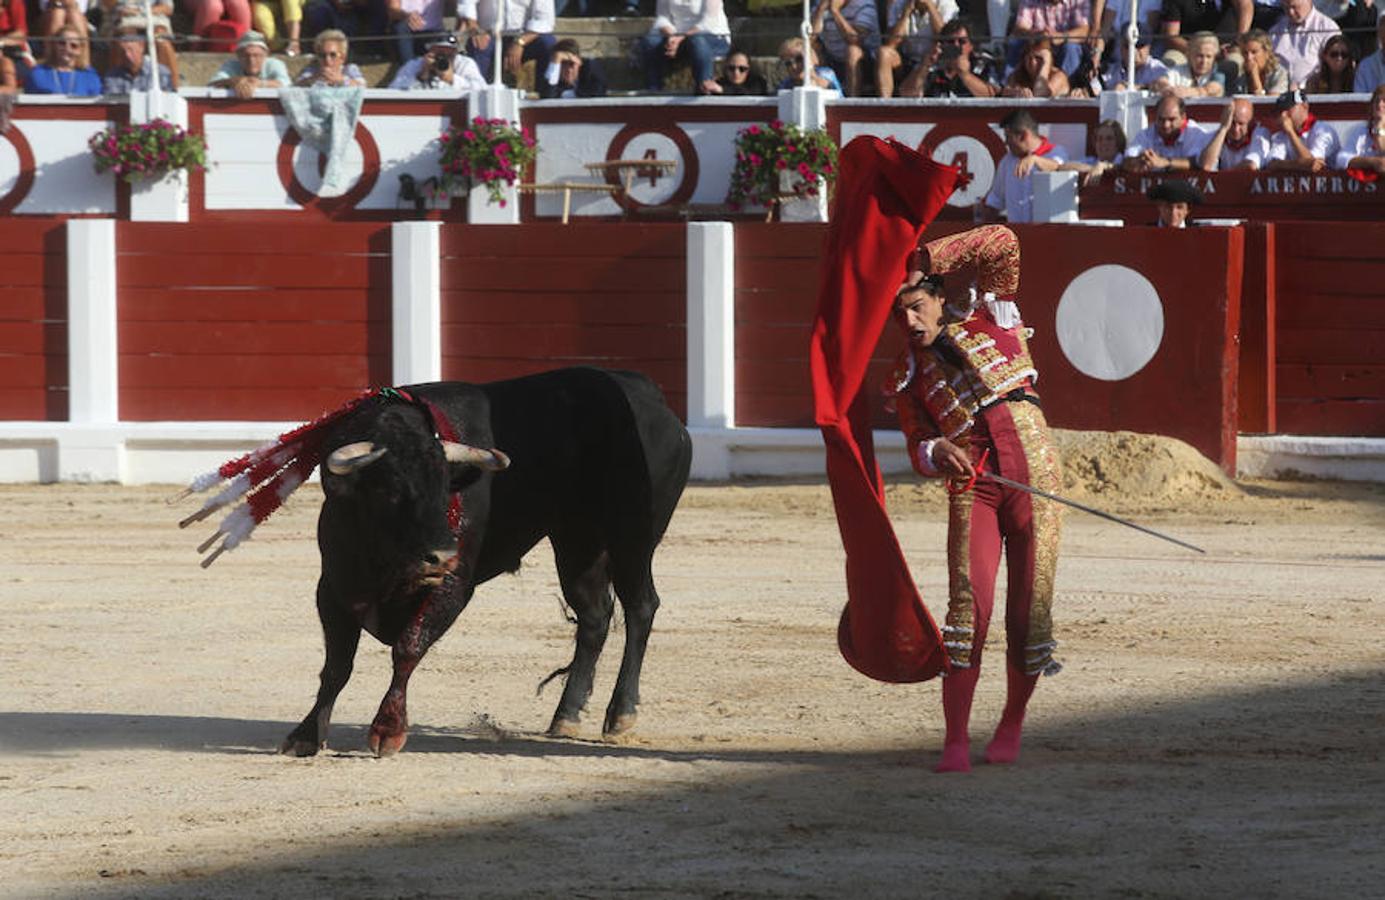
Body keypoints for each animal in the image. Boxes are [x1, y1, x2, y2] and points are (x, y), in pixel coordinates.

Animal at [277, 368, 692, 753]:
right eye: (387, 490)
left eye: (445, 487)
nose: (441, 556)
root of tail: (648, 395)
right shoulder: (334, 586)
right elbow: (336, 666)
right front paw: (305, 735)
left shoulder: (453, 587)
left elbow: (407, 648)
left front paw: (388, 731)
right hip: (578, 542)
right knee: (594, 616)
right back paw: (566, 715)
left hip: (633, 536)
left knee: (640, 606)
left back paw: (621, 712)